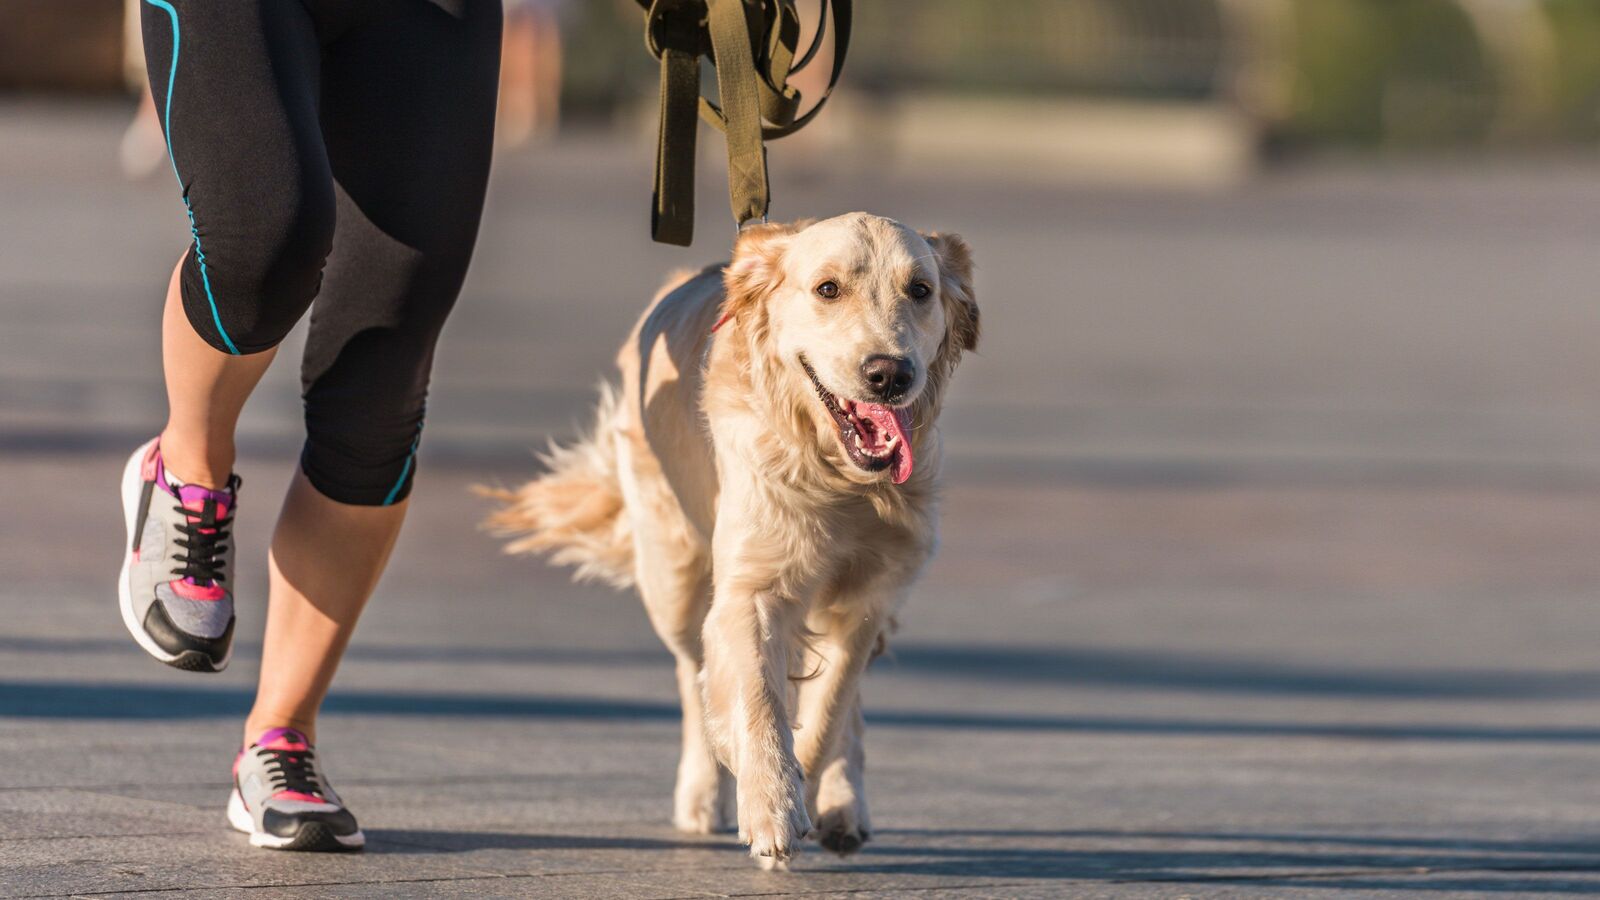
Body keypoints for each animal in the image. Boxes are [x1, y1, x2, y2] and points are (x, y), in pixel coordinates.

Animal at [476, 209, 972, 864]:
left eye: (919, 290)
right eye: (827, 289)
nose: (890, 373)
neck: (838, 479)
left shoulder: (868, 599)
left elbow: (831, 709)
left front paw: (807, 786)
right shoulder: (750, 589)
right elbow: (755, 697)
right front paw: (770, 802)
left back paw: (844, 804)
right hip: (674, 581)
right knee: (693, 675)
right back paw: (701, 792)